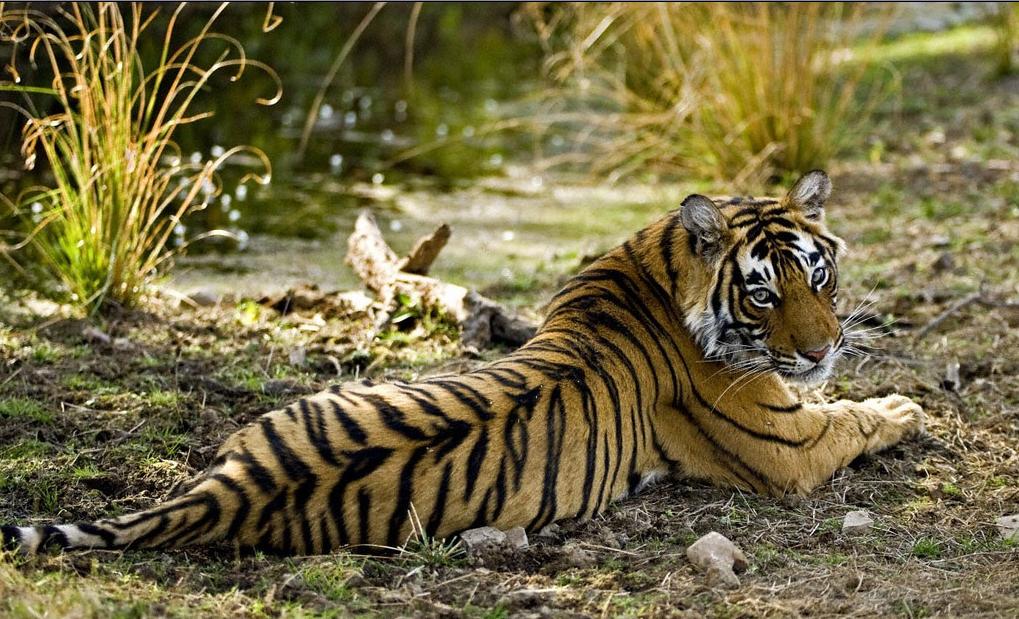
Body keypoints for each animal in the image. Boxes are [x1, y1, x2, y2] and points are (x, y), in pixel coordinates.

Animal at [1, 170, 925, 556]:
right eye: (763, 294)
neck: (659, 264)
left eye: (817, 275)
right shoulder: (786, 443)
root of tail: (231, 491)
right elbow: (853, 416)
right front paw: (907, 408)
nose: (820, 348)